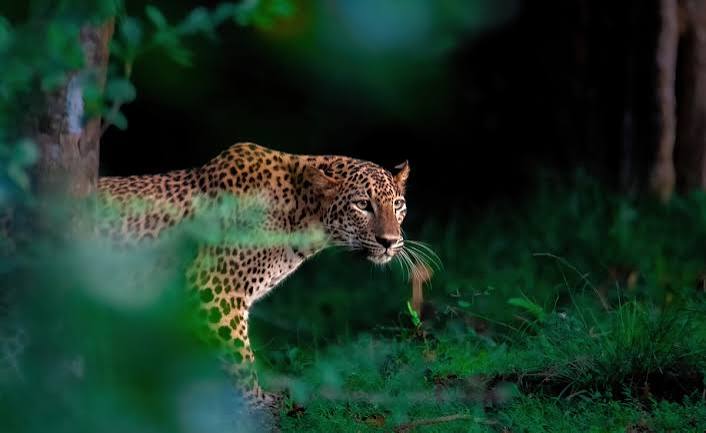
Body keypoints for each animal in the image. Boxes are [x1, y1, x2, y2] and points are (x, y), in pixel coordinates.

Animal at [96, 142, 420, 415]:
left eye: (398, 205)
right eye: (363, 205)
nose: (390, 241)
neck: (303, 215)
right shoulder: (215, 290)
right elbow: (239, 357)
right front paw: (257, 404)